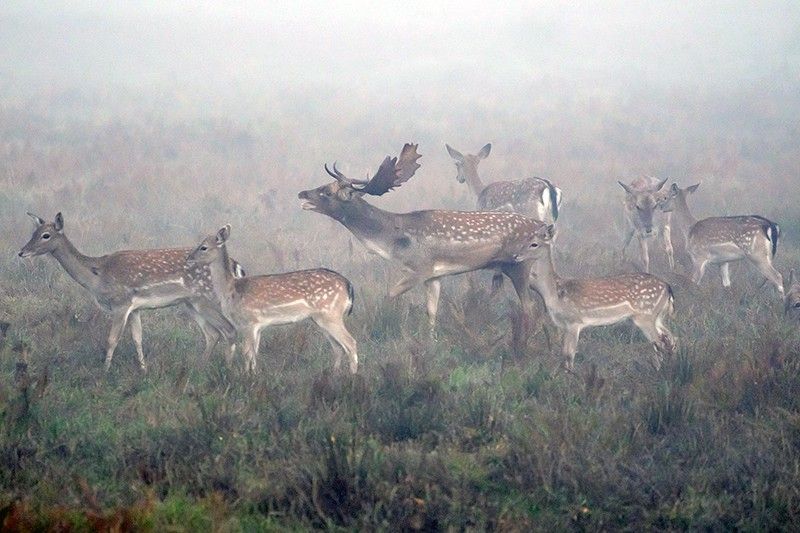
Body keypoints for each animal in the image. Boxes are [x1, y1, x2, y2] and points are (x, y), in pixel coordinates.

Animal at [18, 212, 241, 370]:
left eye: (46, 235)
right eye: (33, 233)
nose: (21, 251)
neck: (97, 277)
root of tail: (235, 266)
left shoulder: (121, 303)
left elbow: (112, 339)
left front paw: (105, 371)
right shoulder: (135, 308)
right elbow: (137, 338)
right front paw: (143, 369)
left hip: (207, 298)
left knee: (228, 330)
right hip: (190, 303)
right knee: (212, 334)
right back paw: (199, 368)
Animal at [188, 225, 356, 374]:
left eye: (203, 247)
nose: (189, 258)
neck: (230, 290)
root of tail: (348, 285)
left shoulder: (250, 321)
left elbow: (246, 352)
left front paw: (246, 376)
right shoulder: (258, 326)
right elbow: (254, 353)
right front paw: (254, 374)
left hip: (330, 314)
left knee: (350, 343)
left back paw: (352, 377)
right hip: (320, 319)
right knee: (338, 348)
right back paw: (334, 375)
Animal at [296, 141, 548, 332]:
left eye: (327, 192)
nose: (302, 193)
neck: (389, 240)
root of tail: (544, 228)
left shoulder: (419, 268)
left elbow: (389, 295)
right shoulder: (434, 276)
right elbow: (432, 311)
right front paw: (431, 339)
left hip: (519, 266)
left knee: (529, 307)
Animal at [524, 222, 676, 368]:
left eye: (534, 244)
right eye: (525, 240)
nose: (518, 256)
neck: (554, 293)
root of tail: (667, 288)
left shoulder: (574, 321)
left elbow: (569, 356)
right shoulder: (566, 325)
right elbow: (565, 355)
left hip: (645, 316)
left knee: (659, 343)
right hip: (657, 316)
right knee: (670, 339)